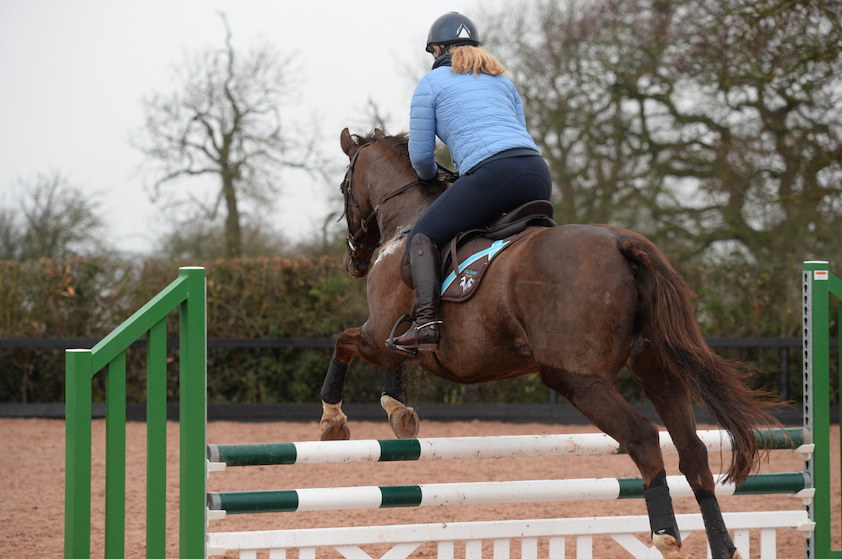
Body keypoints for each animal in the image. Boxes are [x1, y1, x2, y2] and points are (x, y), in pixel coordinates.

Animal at [319, 128, 779, 559]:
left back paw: (665, 533)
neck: (405, 222)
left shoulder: (378, 335)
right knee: (692, 450)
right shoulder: (389, 338)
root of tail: (620, 242)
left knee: (644, 437)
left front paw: (334, 419)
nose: (352, 260)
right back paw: (722, 545)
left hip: (576, 378)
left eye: (344, 187)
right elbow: (393, 360)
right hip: (655, 369)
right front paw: (398, 411)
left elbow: (343, 343)